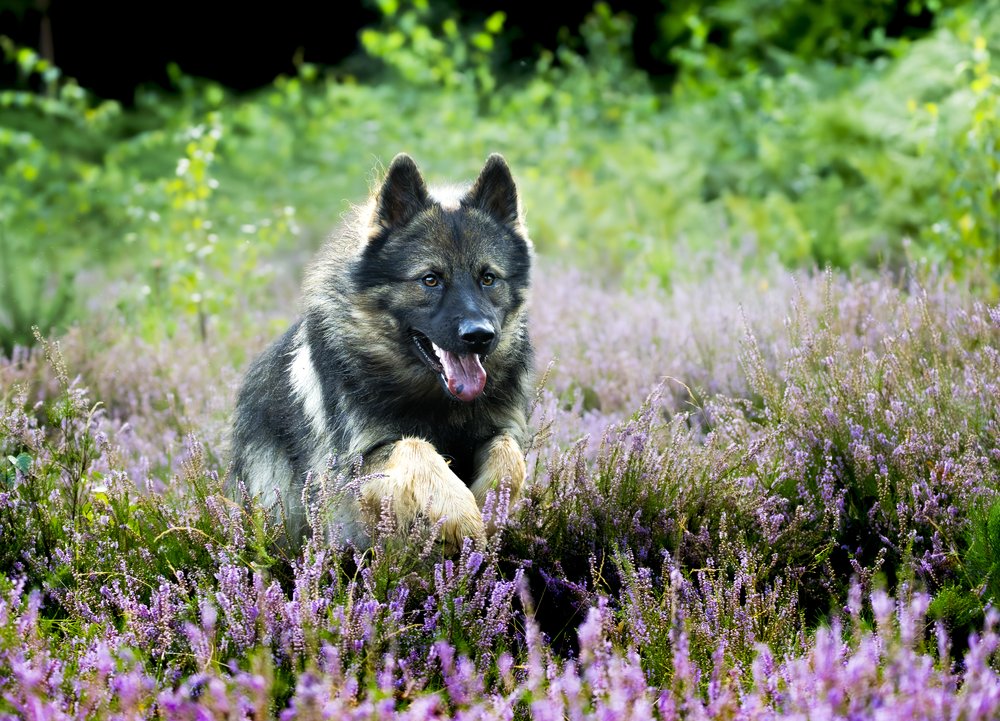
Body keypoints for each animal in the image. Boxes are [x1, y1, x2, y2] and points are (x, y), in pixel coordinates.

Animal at [229, 153, 536, 552]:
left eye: (488, 278)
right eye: (430, 279)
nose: (479, 336)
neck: (437, 401)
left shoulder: (501, 430)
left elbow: (508, 456)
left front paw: (492, 507)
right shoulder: (356, 465)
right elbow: (415, 448)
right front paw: (461, 515)